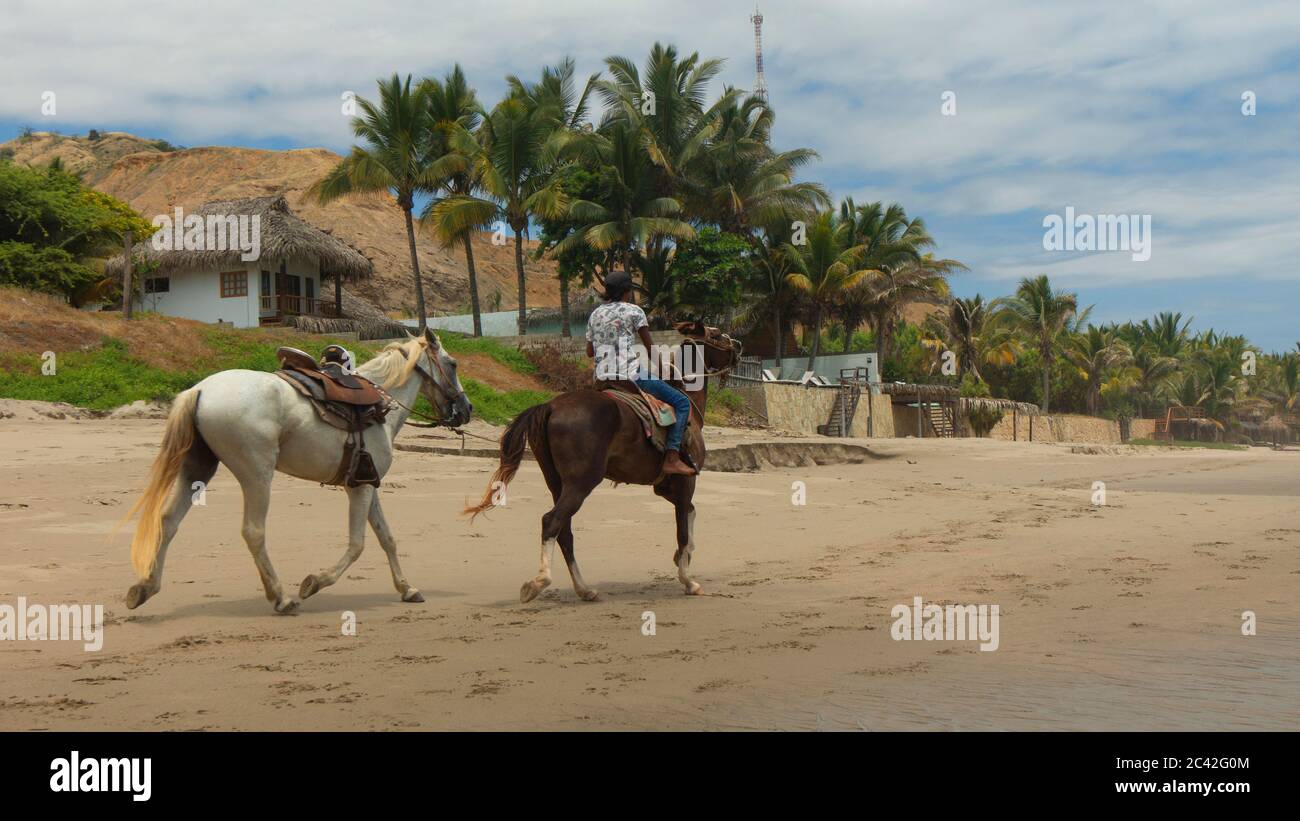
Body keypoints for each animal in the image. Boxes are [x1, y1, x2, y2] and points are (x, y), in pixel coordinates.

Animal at [122, 329, 473, 613]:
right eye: (453, 364)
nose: (467, 409)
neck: (381, 407)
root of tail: (201, 390)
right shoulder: (359, 488)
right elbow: (357, 544)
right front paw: (315, 582)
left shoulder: (367, 483)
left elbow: (386, 537)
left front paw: (407, 588)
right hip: (257, 474)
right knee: (253, 531)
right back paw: (281, 598)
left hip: (197, 468)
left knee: (168, 521)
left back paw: (145, 587)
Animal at [467, 322, 743, 602]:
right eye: (716, 335)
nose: (739, 346)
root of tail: (550, 407)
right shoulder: (686, 480)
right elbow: (683, 529)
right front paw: (688, 580)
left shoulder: (664, 486)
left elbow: (690, 515)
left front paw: (682, 556)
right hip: (582, 482)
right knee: (551, 521)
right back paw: (539, 582)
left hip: (557, 483)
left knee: (564, 531)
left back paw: (584, 589)